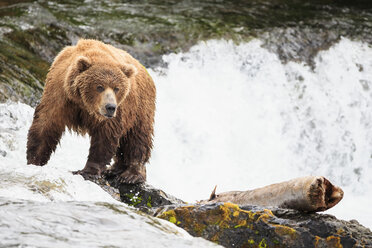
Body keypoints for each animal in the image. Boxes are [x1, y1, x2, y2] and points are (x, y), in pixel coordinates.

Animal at [26, 39, 156, 184]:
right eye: (99, 87)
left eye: (117, 88)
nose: (110, 107)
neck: (84, 103)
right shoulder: (59, 95)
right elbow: (46, 123)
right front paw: (34, 159)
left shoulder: (111, 115)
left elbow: (105, 136)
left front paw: (88, 171)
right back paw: (114, 169)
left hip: (140, 108)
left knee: (137, 138)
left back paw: (131, 174)